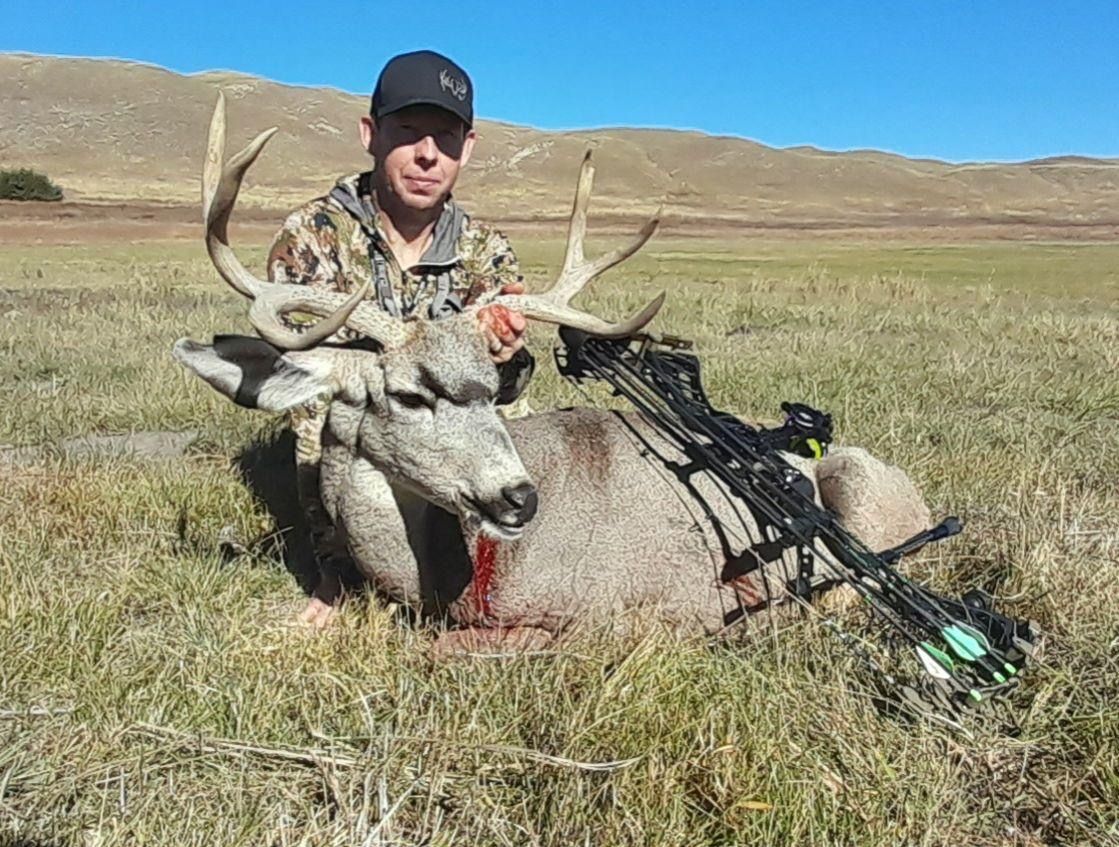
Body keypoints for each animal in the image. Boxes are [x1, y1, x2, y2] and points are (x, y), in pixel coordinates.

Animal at [174, 96, 931, 653]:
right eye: (411, 395)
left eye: (491, 389)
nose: (518, 497)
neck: (454, 574)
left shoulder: (640, 612)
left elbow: (448, 648)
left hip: (864, 493)